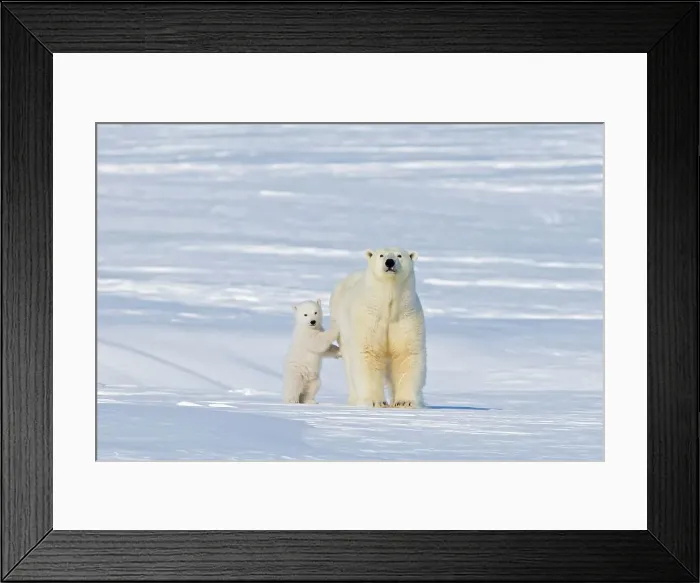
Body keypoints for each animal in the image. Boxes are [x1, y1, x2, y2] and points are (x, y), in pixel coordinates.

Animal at [329, 247, 426, 408]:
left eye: (399, 255)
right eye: (381, 255)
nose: (390, 262)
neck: (388, 309)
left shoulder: (406, 318)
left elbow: (406, 354)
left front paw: (405, 402)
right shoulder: (369, 318)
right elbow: (368, 353)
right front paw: (375, 402)